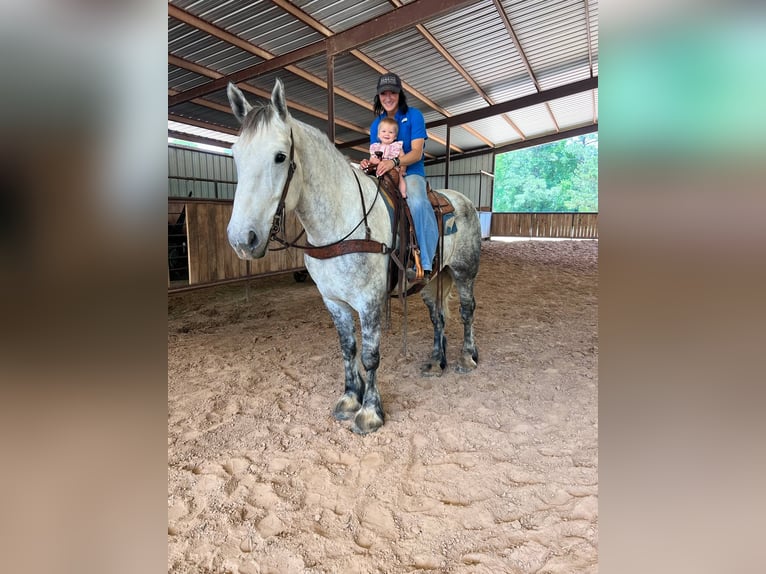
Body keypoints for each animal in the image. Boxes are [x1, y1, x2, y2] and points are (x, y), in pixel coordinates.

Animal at [226, 79, 481, 434]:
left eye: (279, 156)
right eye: (236, 155)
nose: (242, 239)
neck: (340, 223)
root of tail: (461, 200)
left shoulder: (370, 300)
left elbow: (371, 354)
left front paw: (371, 411)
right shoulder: (334, 301)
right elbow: (348, 348)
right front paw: (350, 398)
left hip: (463, 271)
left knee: (467, 311)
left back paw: (467, 357)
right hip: (432, 279)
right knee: (438, 317)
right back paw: (434, 361)